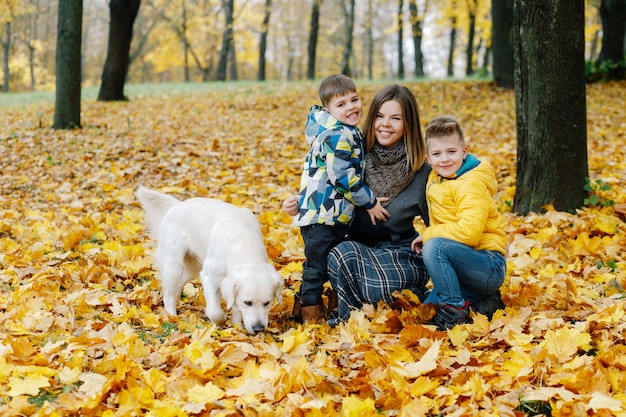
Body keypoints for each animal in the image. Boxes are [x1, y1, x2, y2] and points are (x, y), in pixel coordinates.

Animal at [136, 187, 282, 334]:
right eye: (248, 302)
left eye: (267, 303)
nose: (259, 329)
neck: (243, 241)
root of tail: (177, 204)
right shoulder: (209, 276)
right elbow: (215, 311)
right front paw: (222, 320)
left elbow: (235, 307)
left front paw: (237, 329)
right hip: (174, 267)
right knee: (168, 297)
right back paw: (172, 317)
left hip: (193, 268)